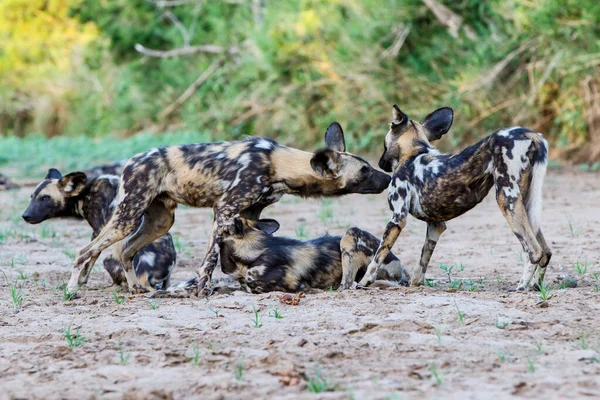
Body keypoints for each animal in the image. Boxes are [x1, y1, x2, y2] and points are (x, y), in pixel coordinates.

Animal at [24, 167, 178, 290]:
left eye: (45, 198)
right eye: (31, 197)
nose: (25, 216)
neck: (84, 194)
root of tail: (145, 273)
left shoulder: (99, 230)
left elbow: (91, 256)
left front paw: (80, 281)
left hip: (109, 259)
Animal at [354, 104, 552, 290]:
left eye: (383, 143)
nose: (380, 163)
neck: (414, 153)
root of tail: (530, 133)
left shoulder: (397, 219)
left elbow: (377, 258)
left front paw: (363, 282)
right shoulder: (436, 226)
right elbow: (423, 261)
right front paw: (416, 284)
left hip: (506, 200)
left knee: (535, 251)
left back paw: (521, 286)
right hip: (525, 204)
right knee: (546, 252)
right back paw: (535, 286)